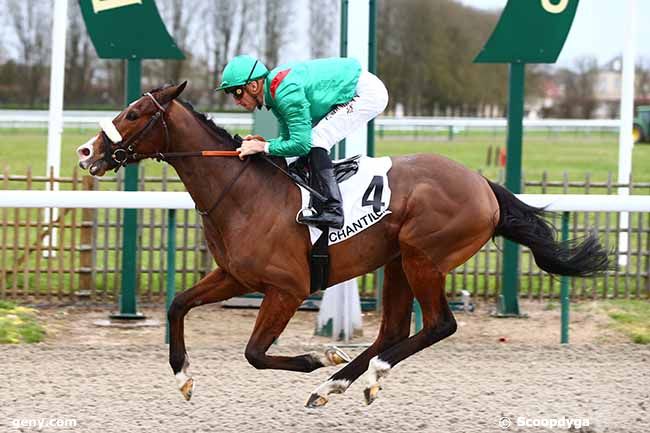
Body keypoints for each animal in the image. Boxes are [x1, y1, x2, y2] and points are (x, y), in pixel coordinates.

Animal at [74, 82, 608, 406]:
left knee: (439, 324)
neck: (243, 192)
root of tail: (483, 185)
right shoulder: (234, 275)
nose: (86, 151)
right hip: (397, 261)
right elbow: (178, 305)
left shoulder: (288, 288)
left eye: (135, 113)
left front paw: (316, 358)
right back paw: (338, 384)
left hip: (423, 257)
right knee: (392, 330)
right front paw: (183, 377)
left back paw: (358, 376)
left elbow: (254, 352)